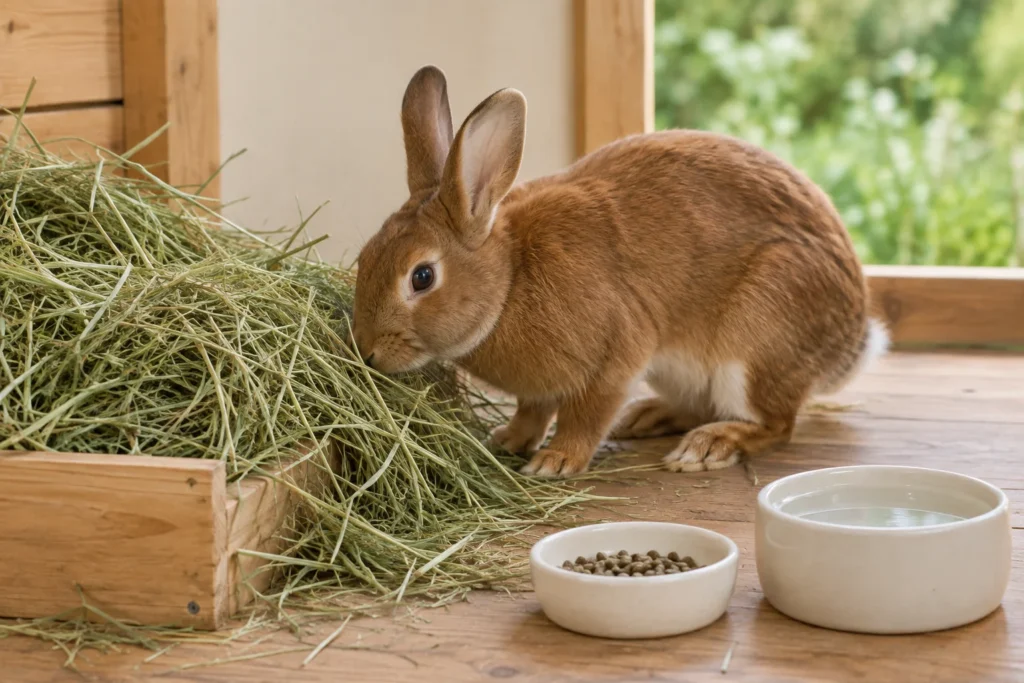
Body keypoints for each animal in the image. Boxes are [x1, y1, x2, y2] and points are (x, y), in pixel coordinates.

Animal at [352, 65, 888, 478]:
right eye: (365, 256)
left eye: (422, 277)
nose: (368, 352)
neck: (509, 280)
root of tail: (851, 342)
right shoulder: (540, 389)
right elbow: (533, 410)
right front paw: (507, 439)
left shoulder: (616, 353)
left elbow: (586, 415)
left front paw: (555, 461)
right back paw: (646, 418)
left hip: (756, 339)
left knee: (777, 424)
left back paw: (708, 446)